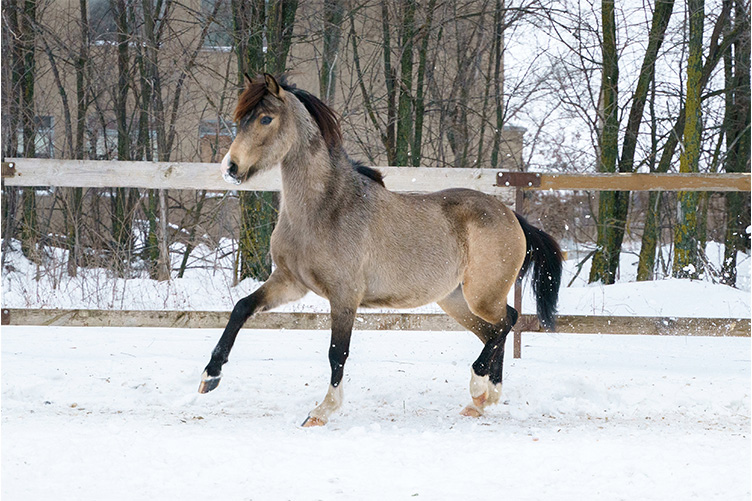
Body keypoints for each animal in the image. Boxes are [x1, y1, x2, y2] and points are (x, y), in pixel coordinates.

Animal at [199, 73, 563, 427]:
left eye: (265, 118)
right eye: (239, 119)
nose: (230, 168)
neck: (325, 209)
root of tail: (512, 216)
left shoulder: (344, 296)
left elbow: (337, 352)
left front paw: (322, 411)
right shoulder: (290, 282)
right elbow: (242, 308)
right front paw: (210, 376)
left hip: (482, 295)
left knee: (507, 321)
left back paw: (478, 387)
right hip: (456, 299)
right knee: (493, 330)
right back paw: (483, 400)